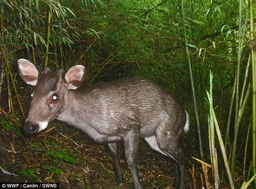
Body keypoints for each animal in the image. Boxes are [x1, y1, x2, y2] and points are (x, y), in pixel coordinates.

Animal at [17, 58, 188, 188]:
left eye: (54, 97)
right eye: (32, 94)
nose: (29, 126)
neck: (92, 124)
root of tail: (185, 115)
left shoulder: (131, 126)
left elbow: (131, 161)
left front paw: (137, 185)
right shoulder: (109, 136)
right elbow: (114, 154)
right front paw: (119, 179)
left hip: (167, 131)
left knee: (182, 156)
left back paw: (181, 184)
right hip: (154, 140)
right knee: (174, 157)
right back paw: (175, 182)